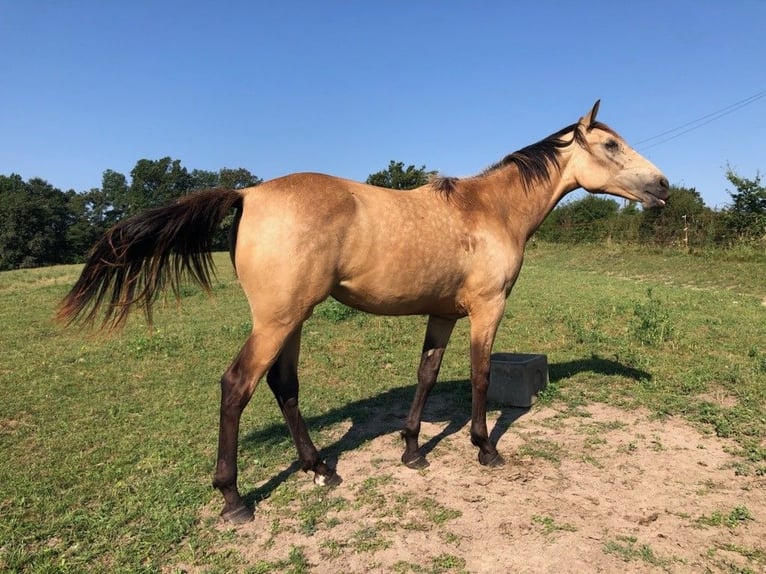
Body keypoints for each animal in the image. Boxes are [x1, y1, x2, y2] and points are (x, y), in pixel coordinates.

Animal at [58, 101, 672, 524]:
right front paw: (484, 449)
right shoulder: (486, 310)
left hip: (294, 320)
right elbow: (478, 377)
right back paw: (234, 499)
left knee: (284, 386)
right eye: (610, 146)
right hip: (275, 322)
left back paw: (319, 469)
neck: (489, 210)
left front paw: (412, 451)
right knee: (237, 386)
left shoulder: (443, 315)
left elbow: (427, 374)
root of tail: (248, 193)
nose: (664, 185)